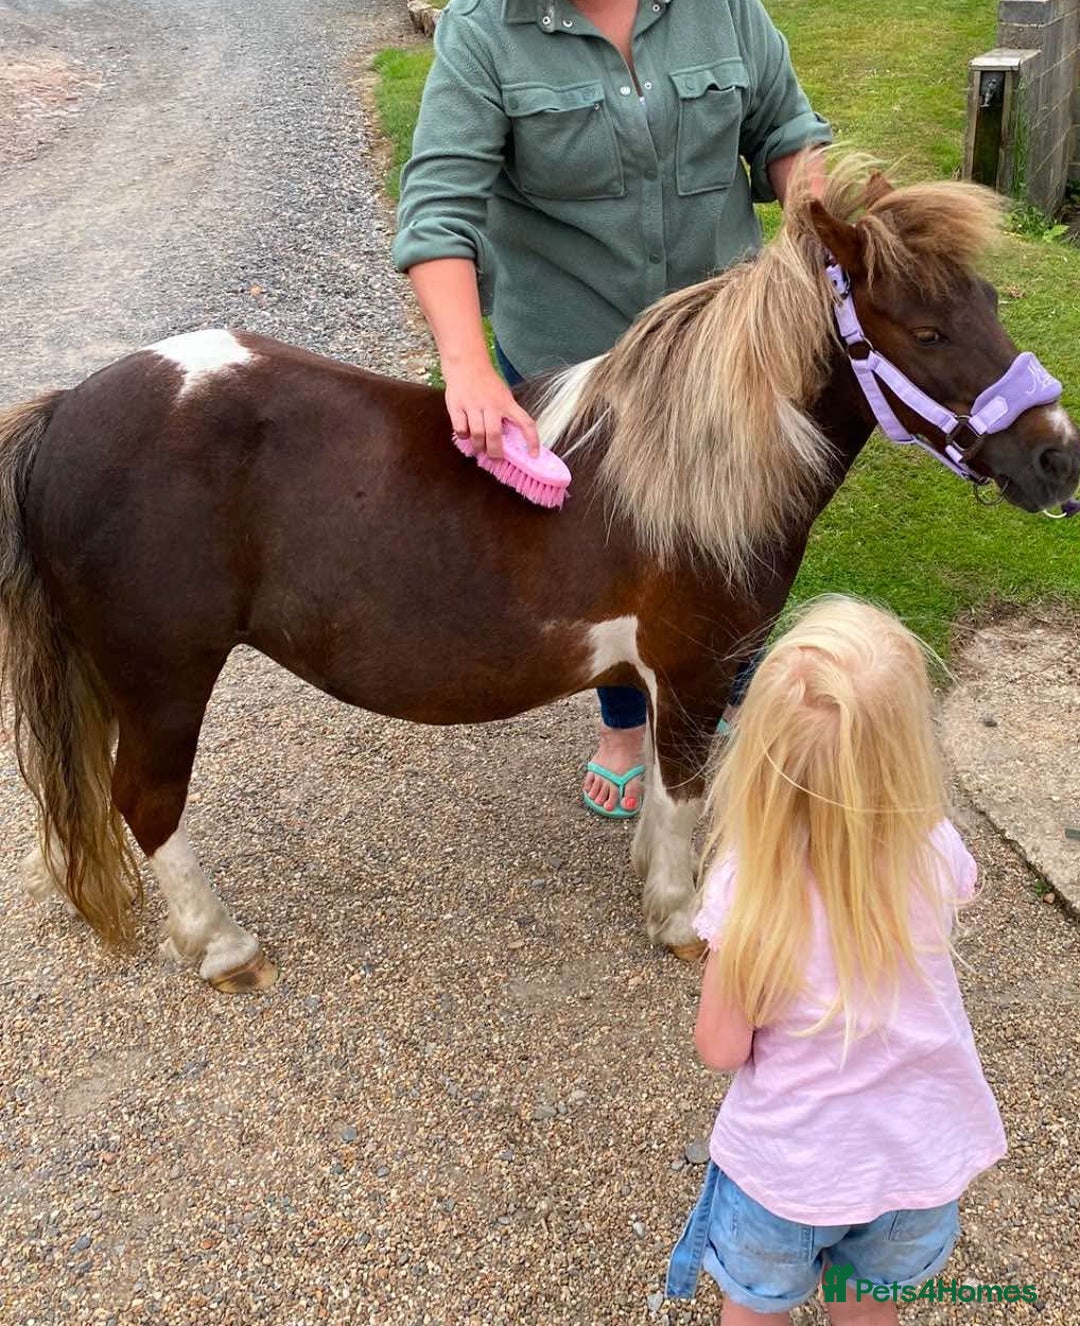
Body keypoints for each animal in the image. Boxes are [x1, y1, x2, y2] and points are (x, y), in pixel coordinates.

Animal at [1, 160, 1077, 993]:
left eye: (989, 302)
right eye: (925, 332)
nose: (1057, 459)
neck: (683, 467)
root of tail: (66, 413)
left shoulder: (667, 677)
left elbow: (666, 790)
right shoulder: (694, 669)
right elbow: (684, 791)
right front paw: (679, 919)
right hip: (164, 676)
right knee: (147, 802)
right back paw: (223, 947)